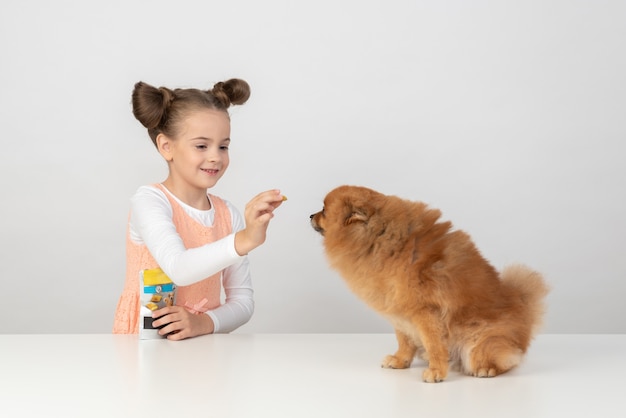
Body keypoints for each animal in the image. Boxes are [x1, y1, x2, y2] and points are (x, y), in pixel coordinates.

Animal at [308, 186, 544, 382]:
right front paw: (400, 360)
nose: (310, 215)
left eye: (324, 211)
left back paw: (486, 369)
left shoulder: (426, 312)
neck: (379, 241)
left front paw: (437, 371)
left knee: (504, 360)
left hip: (480, 344)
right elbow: (404, 340)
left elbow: (434, 344)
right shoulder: (399, 309)